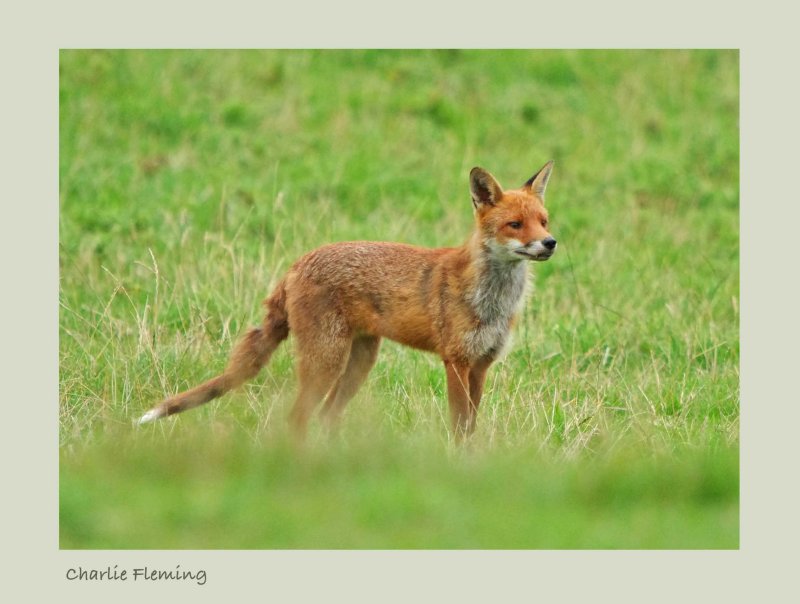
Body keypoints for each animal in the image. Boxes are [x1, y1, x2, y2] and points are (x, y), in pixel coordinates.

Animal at [138, 163, 556, 436]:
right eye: (515, 225)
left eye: (544, 221)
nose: (550, 243)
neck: (495, 299)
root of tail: (298, 263)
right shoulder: (456, 360)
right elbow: (457, 427)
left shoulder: (482, 364)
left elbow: (470, 430)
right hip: (327, 361)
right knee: (299, 418)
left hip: (359, 362)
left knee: (326, 417)